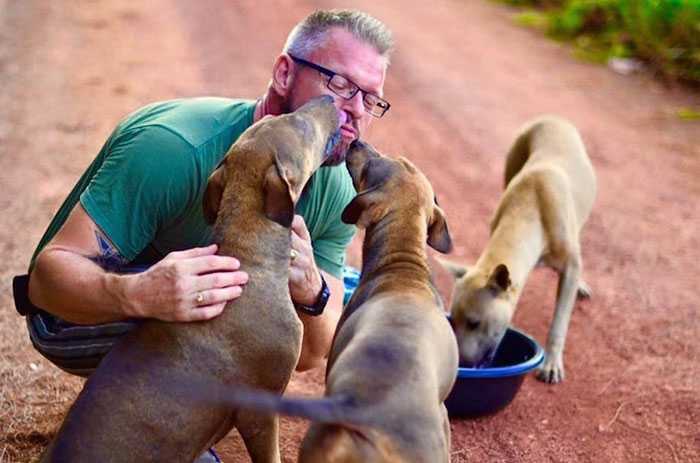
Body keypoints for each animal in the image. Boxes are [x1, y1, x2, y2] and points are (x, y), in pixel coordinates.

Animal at [438, 116, 596, 384]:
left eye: (474, 323)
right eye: (454, 322)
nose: (464, 365)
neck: (531, 206)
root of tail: (550, 118)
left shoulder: (570, 267)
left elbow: (559, 321)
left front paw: (552, 363)